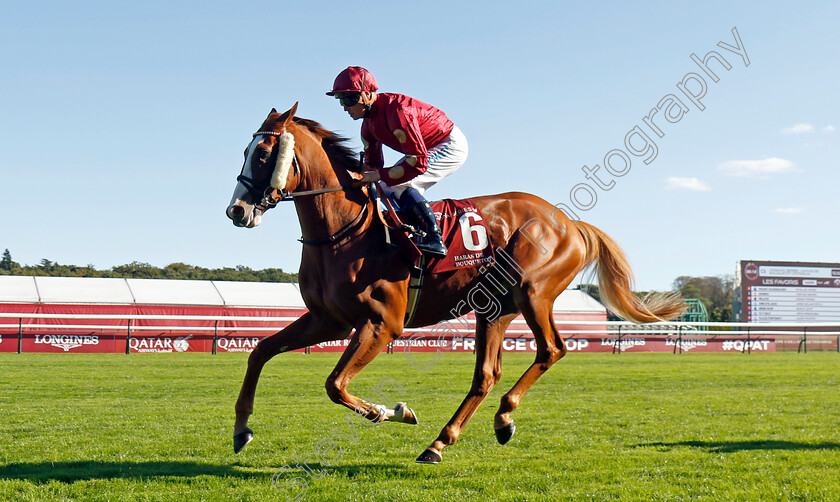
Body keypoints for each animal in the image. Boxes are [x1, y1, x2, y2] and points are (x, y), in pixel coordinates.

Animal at [226, 104, 684, 464]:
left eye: (264, 153)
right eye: (245, 151)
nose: (237, 210)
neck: (346, 229)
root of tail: (569, 222)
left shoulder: (381, 324)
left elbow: (335, 385)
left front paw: (390, 411)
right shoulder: (328, 319)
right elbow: (260, 353)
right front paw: (241, 429)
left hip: (532, 293)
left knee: (551, 349)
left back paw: (493, 419)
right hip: (494, 309)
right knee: (487, 374)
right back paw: (451, 439)